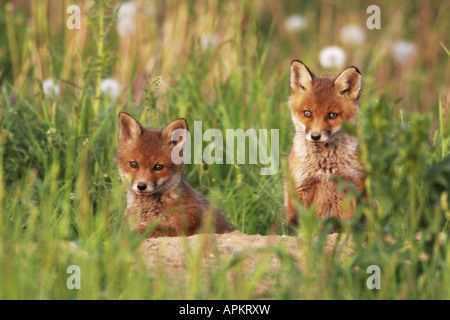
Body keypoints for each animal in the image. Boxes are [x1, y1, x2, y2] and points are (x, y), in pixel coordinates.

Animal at [284, 60, 366, 228]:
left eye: (332, 115)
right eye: (307, 113)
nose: (315, 136)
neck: (325, 166)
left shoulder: (356, 184)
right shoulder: (299, 185)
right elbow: (296, 222)